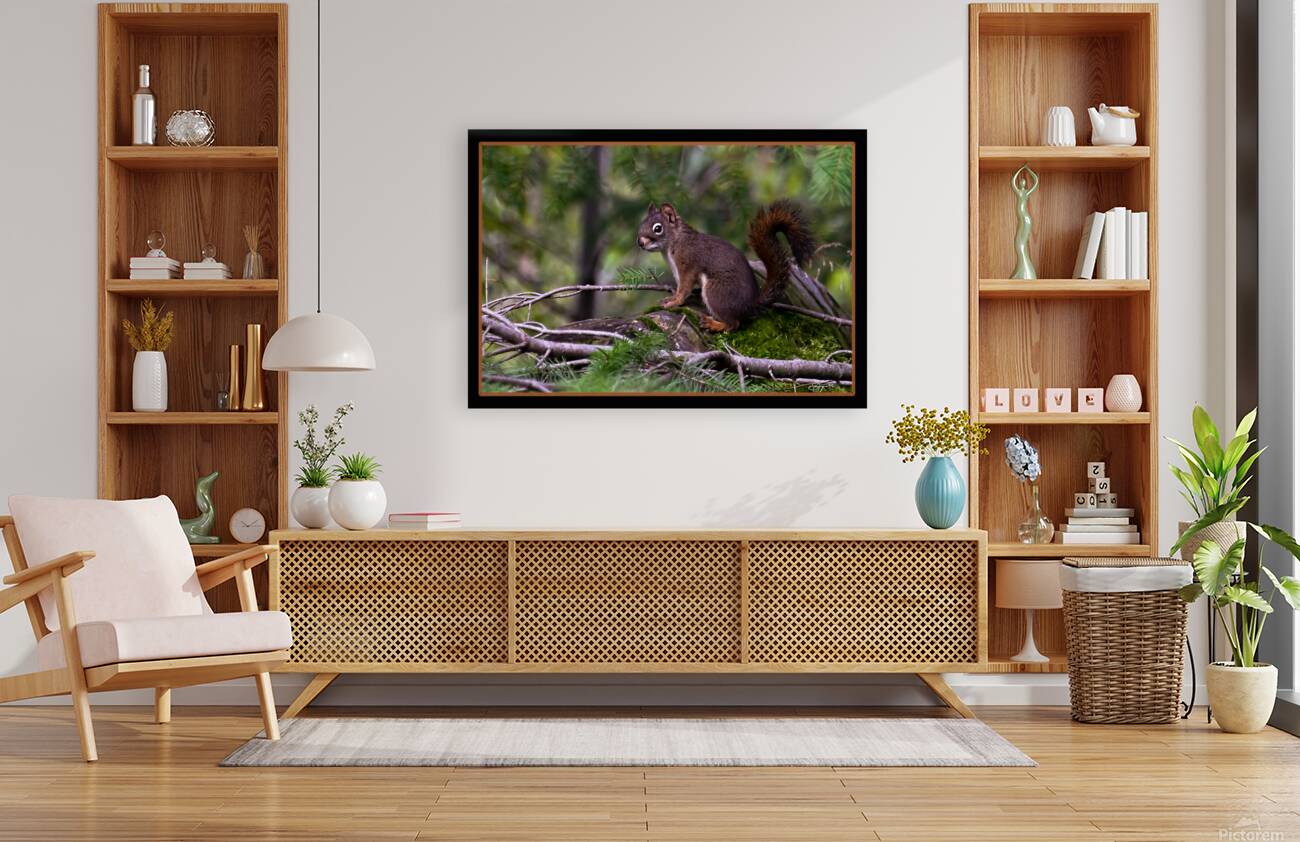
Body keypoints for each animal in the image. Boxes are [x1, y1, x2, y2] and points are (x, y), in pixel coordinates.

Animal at [636, 199, 815, 332]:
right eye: (642, 223)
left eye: (658, 228)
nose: (640, 243)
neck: (674, 243)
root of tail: (750, 305)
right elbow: (679, 287)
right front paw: (670, 298)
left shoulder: (688, 264)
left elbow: (685, 288)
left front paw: (675, 302)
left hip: (717, 292)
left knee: (734, 324)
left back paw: (714, 324)